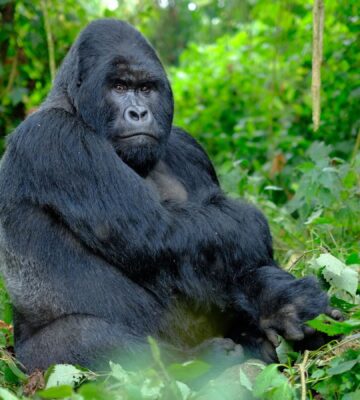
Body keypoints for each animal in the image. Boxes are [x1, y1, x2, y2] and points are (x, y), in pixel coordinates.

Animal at [0, 21, 338, 372]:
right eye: (119, 87)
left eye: (147, 88)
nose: (138, 112)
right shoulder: (54, 138)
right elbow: (163, 233)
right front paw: (257, 230)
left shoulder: (188, 146)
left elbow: (221, 252)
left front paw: (282, 299)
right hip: (29, 362)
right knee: (84, 336)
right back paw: (197, 361)